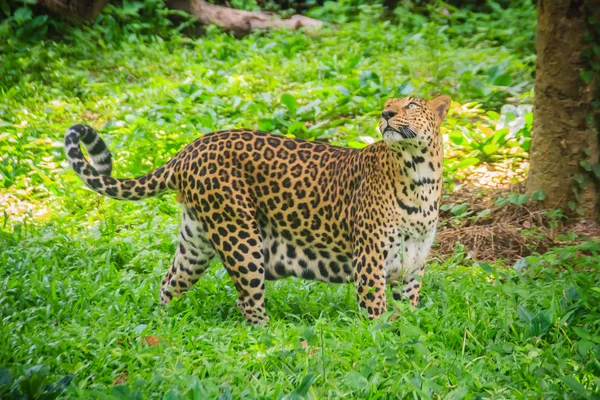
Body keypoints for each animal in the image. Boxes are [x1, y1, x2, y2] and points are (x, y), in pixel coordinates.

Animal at [65, 94, 450, 324]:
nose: (386, 114)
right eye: (388, 103)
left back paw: (162, 324)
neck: (420, 175)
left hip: (195, 242)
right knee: (248, 300)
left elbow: (408, 304)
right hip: (239, 235)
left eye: (411, 105)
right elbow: (376, 311)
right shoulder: (370, 259)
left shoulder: (415, 260)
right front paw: (381, 336)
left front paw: (409, 329)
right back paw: (271, 339)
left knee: (169, 281)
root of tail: (189, 148)